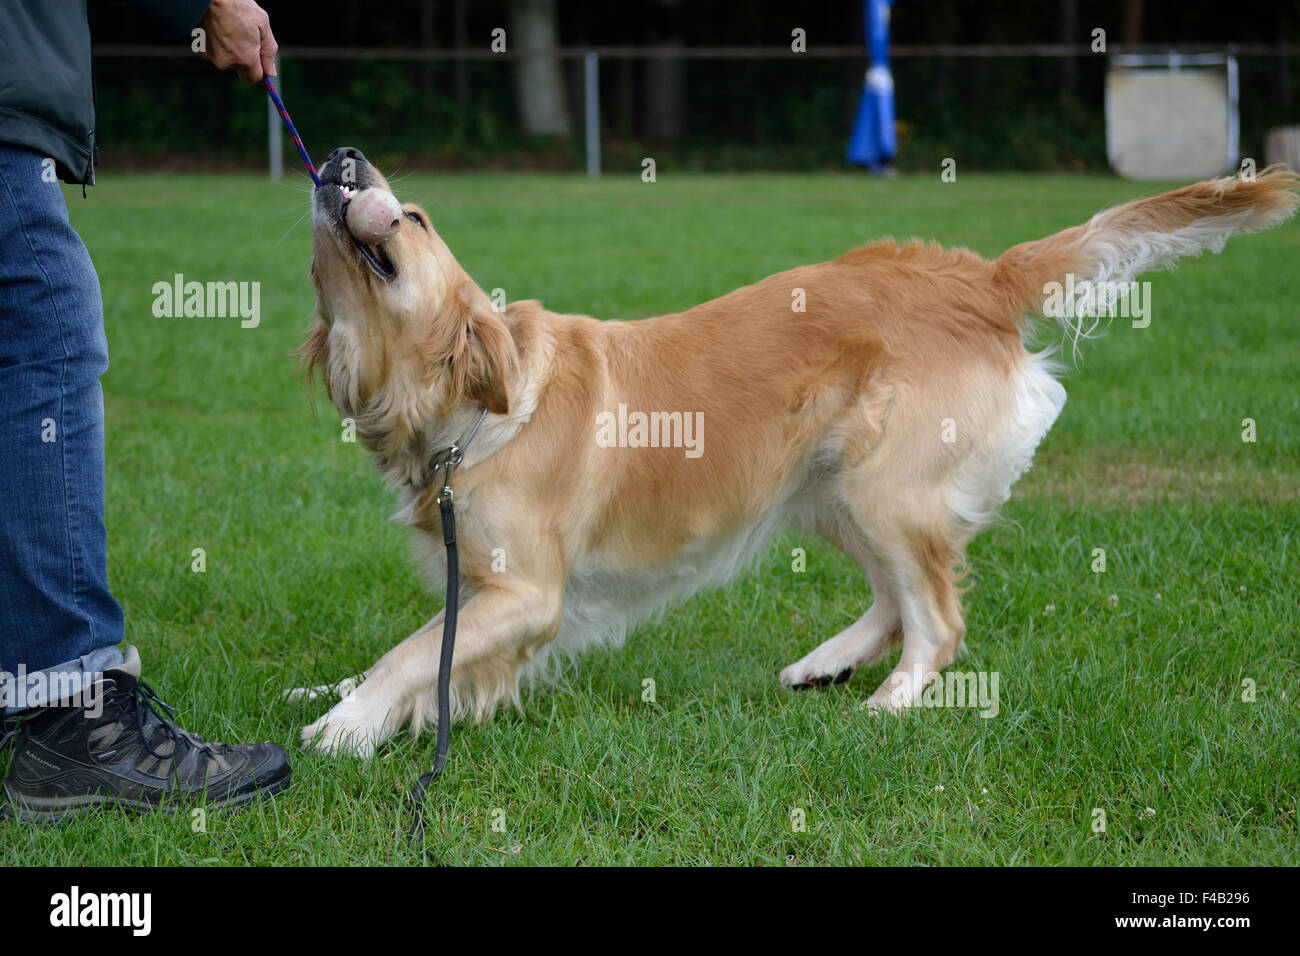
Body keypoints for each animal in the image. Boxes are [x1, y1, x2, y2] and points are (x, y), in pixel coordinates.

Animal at [292, 147, 1289, 754]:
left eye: (415, 217)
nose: (340, 159)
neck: (465, 412)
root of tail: (976, 276)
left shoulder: (527, 593)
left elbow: (414, 652)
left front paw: (346, 724)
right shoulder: (481, 588)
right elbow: (428, 651)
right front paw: (339, 696)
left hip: (884, 482)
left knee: (937, 618)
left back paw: (891, 703)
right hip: (830, 484)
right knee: (896, 600)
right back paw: (827, 664)